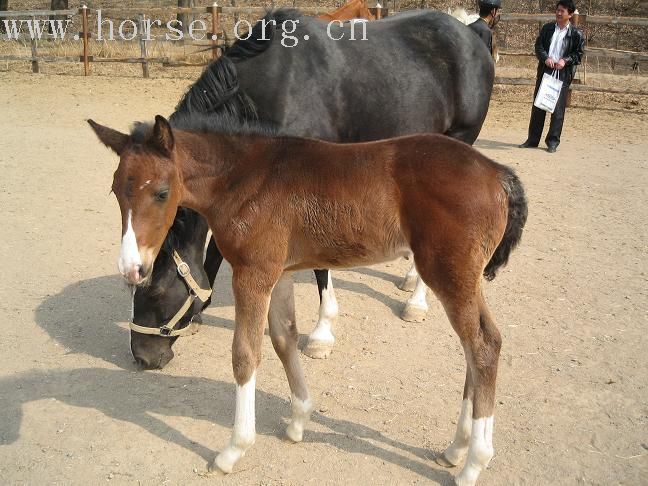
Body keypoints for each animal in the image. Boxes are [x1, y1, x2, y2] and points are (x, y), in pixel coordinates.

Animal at [90, 115, 528, 486]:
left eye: (162, 193)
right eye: (115, 190)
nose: (131, 267)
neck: (244, 178)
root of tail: (498, 174)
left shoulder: (253, 274)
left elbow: (245, 354)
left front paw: (233, 450)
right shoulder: (279, 272)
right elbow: (284, 339)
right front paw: (298, 420)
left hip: (450, 275)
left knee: (483, 346)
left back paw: (474, 463)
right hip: (463, 279)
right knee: (478, 346)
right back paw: (456, 449)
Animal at [129, 9, 494, 368]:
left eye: (154, 291)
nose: (143, 357)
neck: (269, 91)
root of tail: (468, 33)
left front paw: (321, 335)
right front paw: (199, 312)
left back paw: (416, 302)